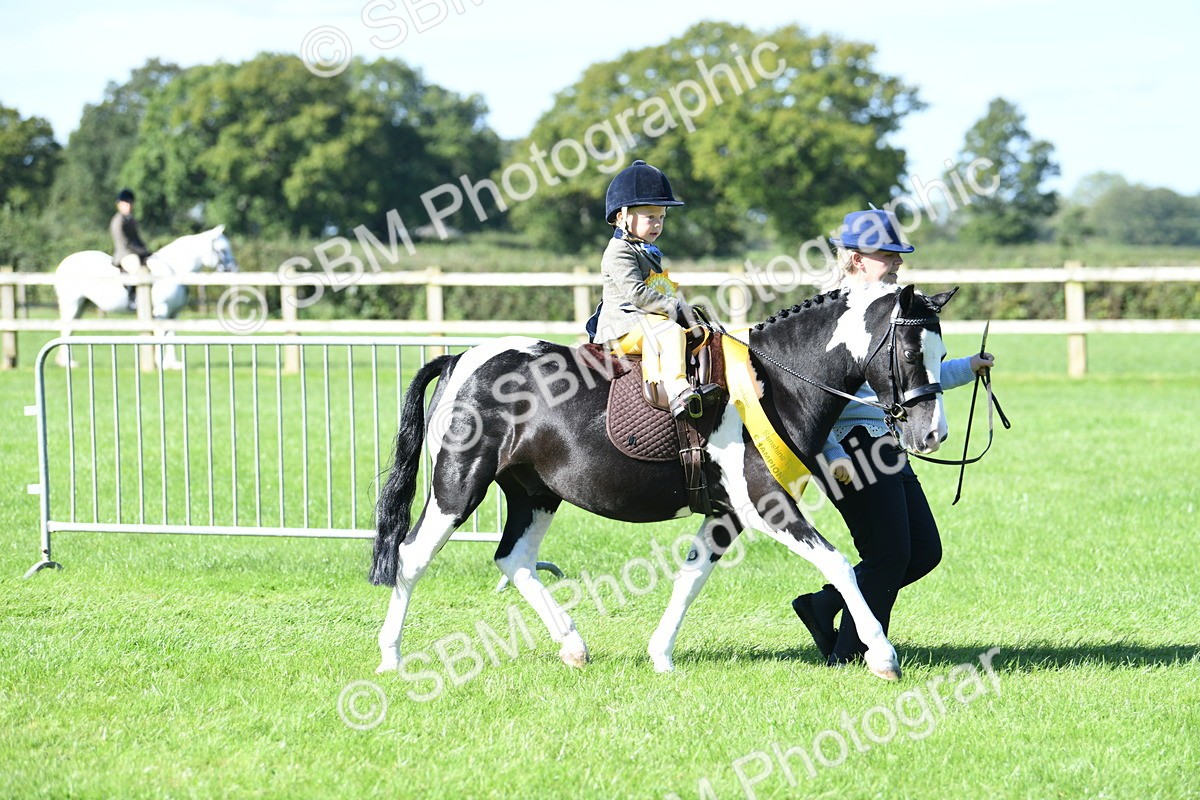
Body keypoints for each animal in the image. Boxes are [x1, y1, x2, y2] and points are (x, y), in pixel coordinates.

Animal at [54, 225, 238, 367]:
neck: (173, 270)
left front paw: (173, 364)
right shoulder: (162, 311)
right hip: (72, 304)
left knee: (69, 330)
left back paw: (66, 361)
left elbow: (172, 335)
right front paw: (160, 363)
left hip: (81, 305)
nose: (234, 268)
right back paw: (68, 362)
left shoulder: (174, 313)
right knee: (65, 329)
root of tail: (63, 265)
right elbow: (160, 336)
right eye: (222, 249)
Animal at [370, 282, 957, 681]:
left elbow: (690, 578)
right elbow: (837, 564)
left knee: (513, 560)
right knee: (411, 556)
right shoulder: (766, 505)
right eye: (910, 353)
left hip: (534, 494)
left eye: (944, 354)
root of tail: (460, 358)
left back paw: (573, 646)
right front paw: (882, 656)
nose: (933, 433)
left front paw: (660, 654)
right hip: (458, 486)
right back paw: (390, 657)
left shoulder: (725, 516)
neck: (772, 384)